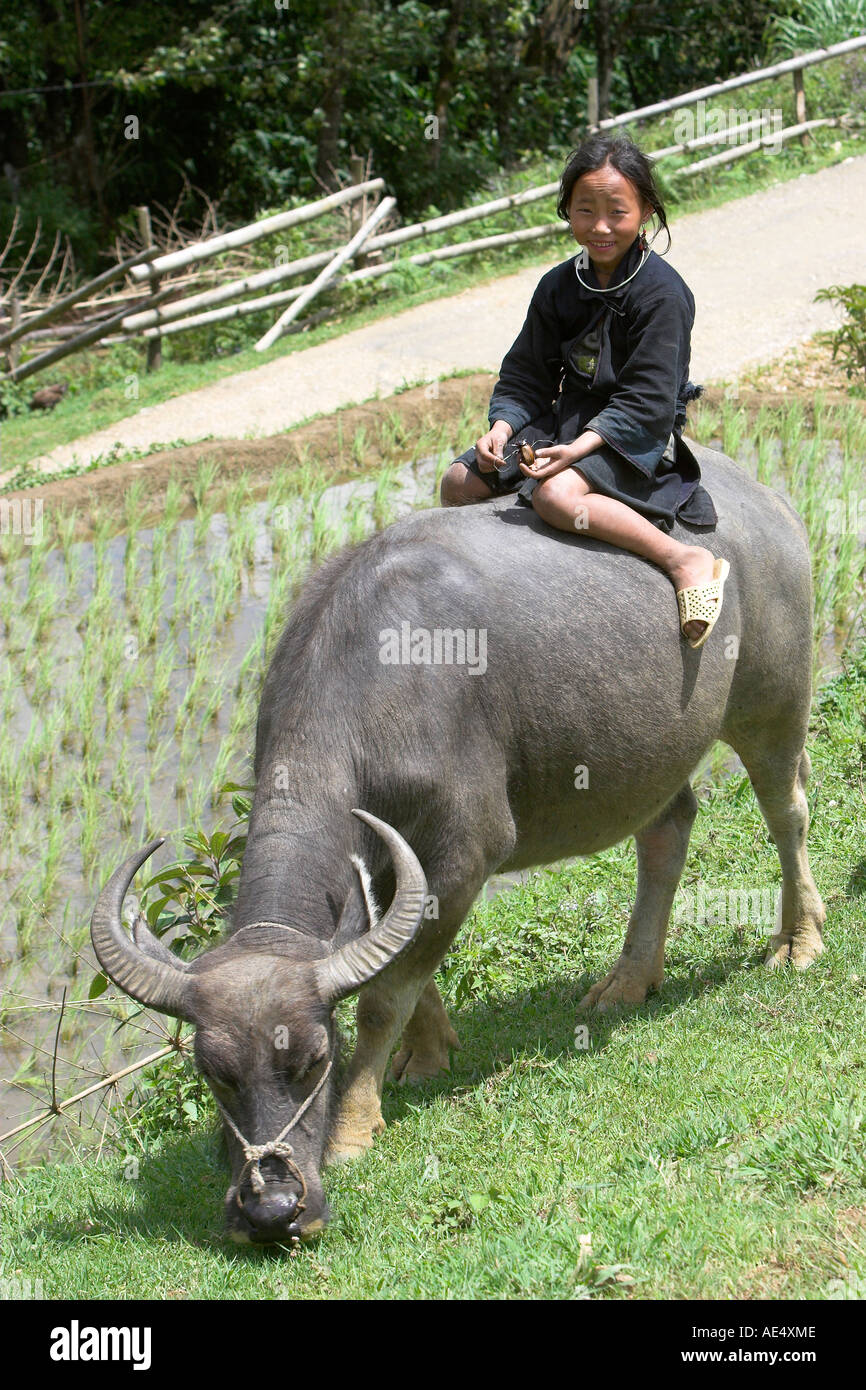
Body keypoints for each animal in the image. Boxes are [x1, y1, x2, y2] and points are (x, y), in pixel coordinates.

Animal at [89, 439, 828, 1245]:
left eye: (313, 1059)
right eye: (214, 1071)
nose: (272, 1208)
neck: (372, 683)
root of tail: (768, 500)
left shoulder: (465, 848)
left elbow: (385, 992)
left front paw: (355, 1124)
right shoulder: (394, 857)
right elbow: (397, 956)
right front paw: (428, 1051)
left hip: (773, 699)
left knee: (786, 808)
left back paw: (799, 940)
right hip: (647, 755)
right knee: (668, 829)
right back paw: (628, 981)